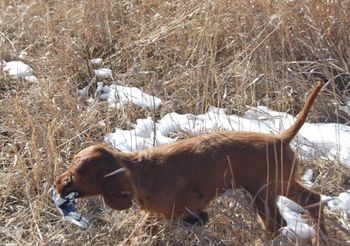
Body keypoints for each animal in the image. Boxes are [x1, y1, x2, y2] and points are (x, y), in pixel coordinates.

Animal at [54, 81, 326, 239]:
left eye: (74, 174)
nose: (56, 184)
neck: (137, 172)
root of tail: (281, 139)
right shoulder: (157, 214)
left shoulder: (181, 208)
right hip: (281, 183)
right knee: (313, 200)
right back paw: (321, 236)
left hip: (262, 191)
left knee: (276, 223)